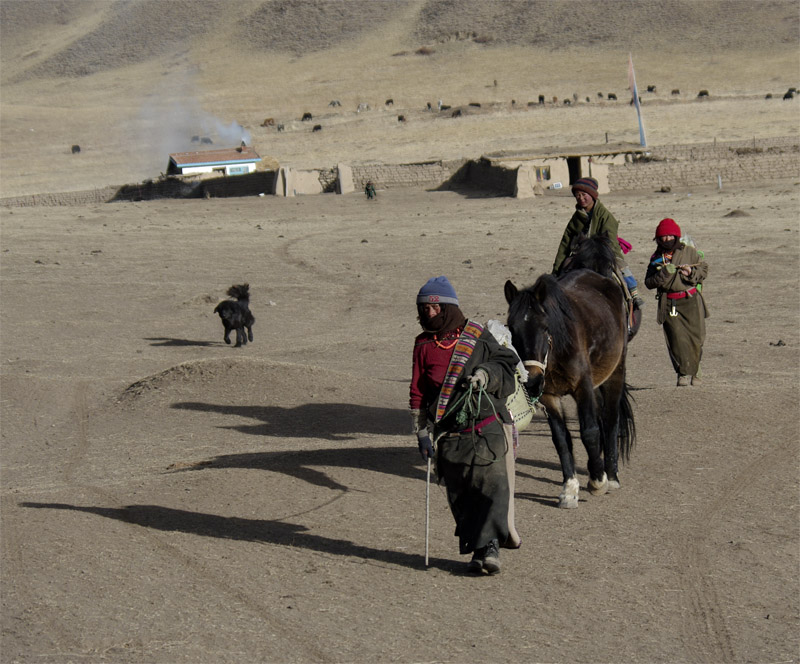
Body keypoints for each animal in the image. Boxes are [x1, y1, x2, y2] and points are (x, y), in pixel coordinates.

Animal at [504, 235, 636, 508]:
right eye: (511, 327)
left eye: (545, 327)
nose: (532, 380)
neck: (555, 353)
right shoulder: (548, 396)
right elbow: (561, 439)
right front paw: (569, 487)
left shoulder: (582, 387)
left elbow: (590, 431)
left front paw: (598, 480)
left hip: (615, 372)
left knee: (610, 419)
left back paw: (611, 474)